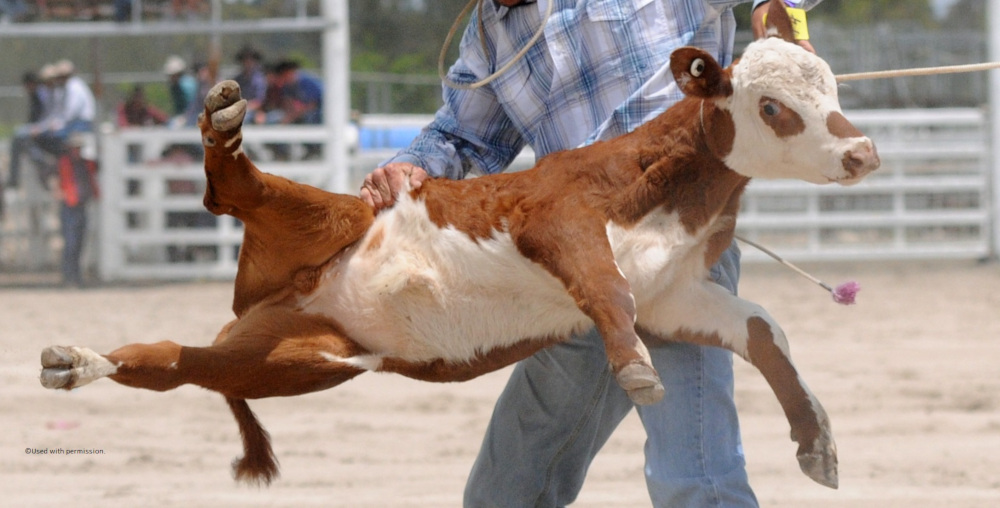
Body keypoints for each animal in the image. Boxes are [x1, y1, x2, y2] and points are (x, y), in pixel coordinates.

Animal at [39, 0, 876, 492]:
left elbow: (762, 330)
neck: (655, 178)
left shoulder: (677, 299)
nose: (862, 151)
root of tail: (277, 295)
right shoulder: (557, 220)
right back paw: (220, 126)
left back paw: (80, 362)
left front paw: (816, 441)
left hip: (298, 358)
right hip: (313, 222)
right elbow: (604, 286)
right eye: (773, 106)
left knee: (178, 364)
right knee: (227, 198)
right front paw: (636, 369)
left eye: (832, 89)